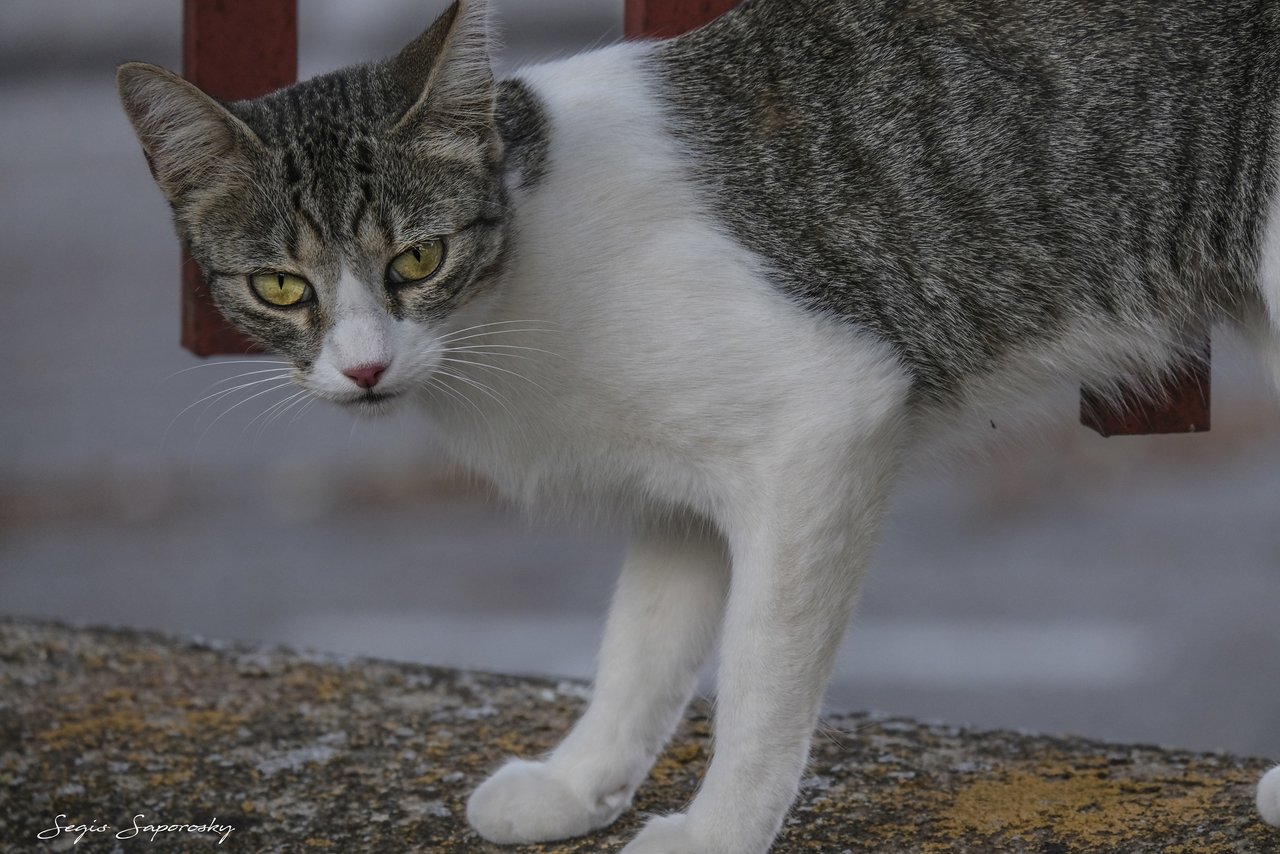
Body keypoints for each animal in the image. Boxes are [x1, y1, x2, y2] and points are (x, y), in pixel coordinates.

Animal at [117, 1, 1280, 854]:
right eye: (280, 284)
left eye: (416, 258)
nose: (363, 367)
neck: (514, 288)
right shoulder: (681, 491)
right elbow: (642, 644)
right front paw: (580, 781)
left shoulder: (821, 421)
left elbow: (759, 675)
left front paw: (717, 829)